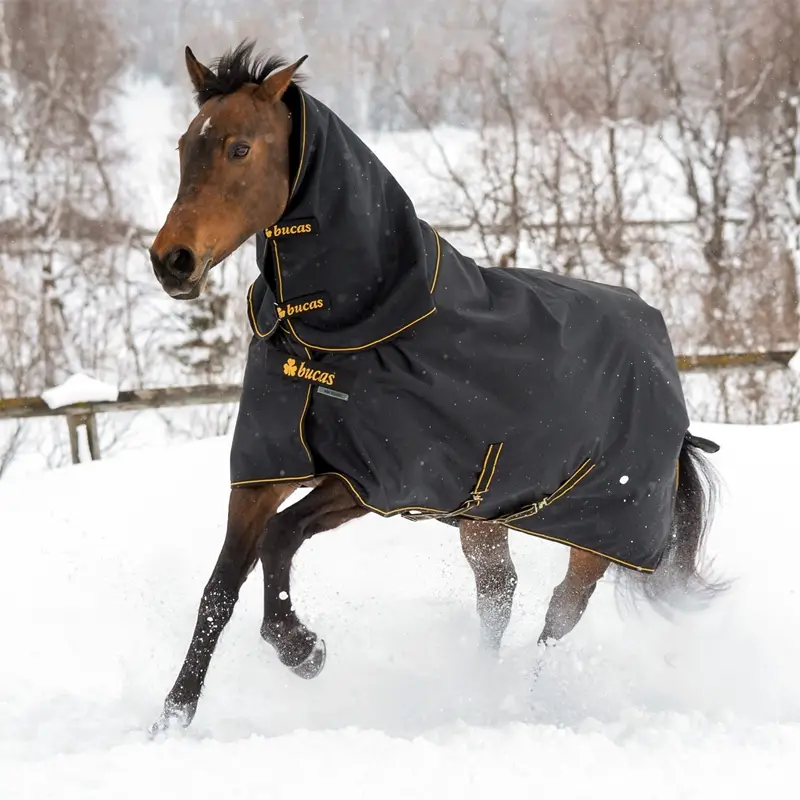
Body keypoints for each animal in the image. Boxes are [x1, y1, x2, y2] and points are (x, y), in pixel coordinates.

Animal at [147, 41, 724, 733]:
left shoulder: (372, 480)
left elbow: (280, 539)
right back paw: (477, 691)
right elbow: (220, 588)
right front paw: (171, 720)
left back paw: (522, 703)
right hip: (482, 518)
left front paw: (303, 650)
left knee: (559, 616)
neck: (339, 331)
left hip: (599, 533)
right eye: (185, 144)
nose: (171, 262)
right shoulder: (264, 471)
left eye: (239, 148)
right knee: (499, 594)